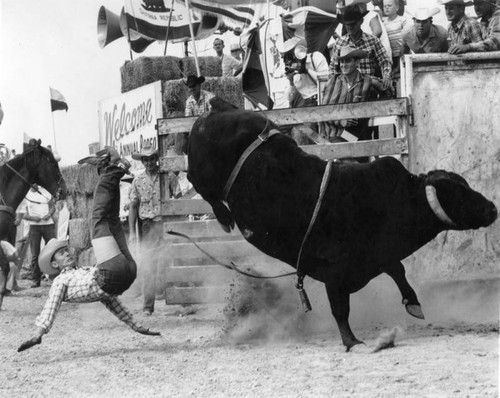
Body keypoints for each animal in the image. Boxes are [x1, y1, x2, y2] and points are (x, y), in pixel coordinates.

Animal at [187, 98, 496, 350]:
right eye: (460, 194)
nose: (493, 208)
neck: (395, 201)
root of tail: (217, 110)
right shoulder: (335, 272)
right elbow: (341, 309)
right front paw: (352, 341)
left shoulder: (377, 257)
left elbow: (398, 270)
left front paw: (414, 303)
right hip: (203, 171)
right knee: (197, 182)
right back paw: (224, 218)